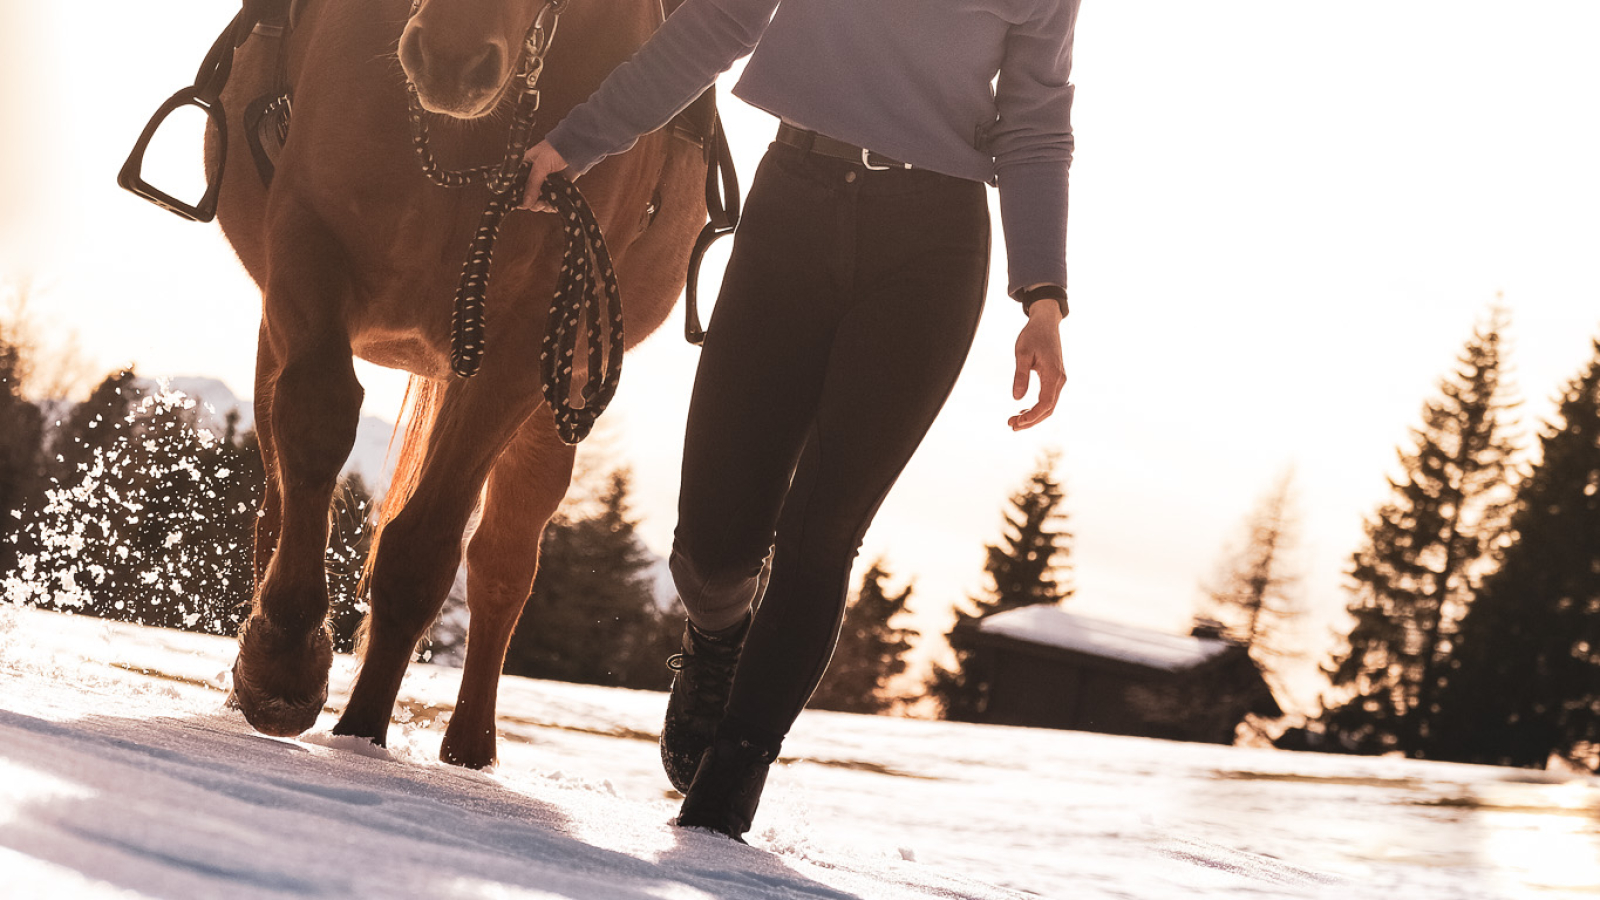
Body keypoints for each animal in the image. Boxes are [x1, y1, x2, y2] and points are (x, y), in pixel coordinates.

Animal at [211, 0, 707, 762]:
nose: (451, 55)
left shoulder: (529, 340)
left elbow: (426, 542)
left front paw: (363, 731)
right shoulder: (305, 239)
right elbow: (318, 418)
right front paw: (283, 659)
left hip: (555, 405)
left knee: (505, 560)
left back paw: (471, 747)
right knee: (280, 485)